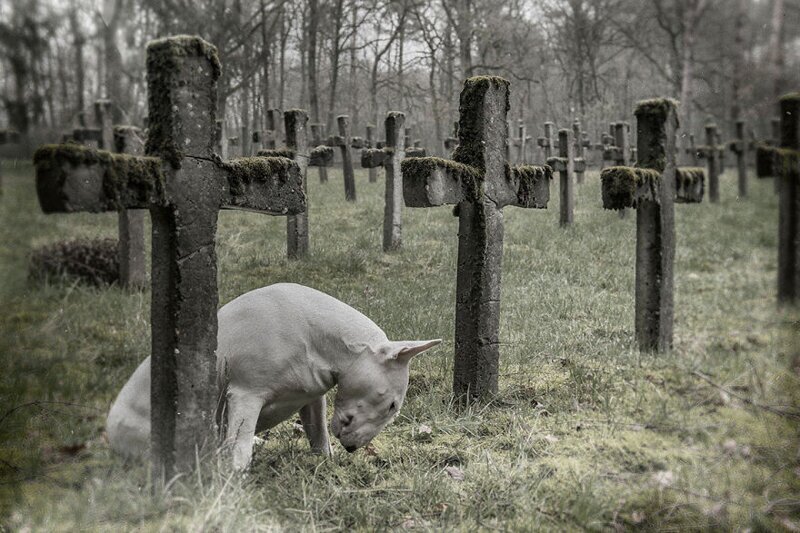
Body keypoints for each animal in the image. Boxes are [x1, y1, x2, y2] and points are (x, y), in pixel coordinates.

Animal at [106, 280, 440, 468]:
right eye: (392, 405)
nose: (352, 448)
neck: (317, 335)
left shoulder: (312, 397)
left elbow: (318, 434)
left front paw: (328, 464)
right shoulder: (244, 394)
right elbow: (239, 450)